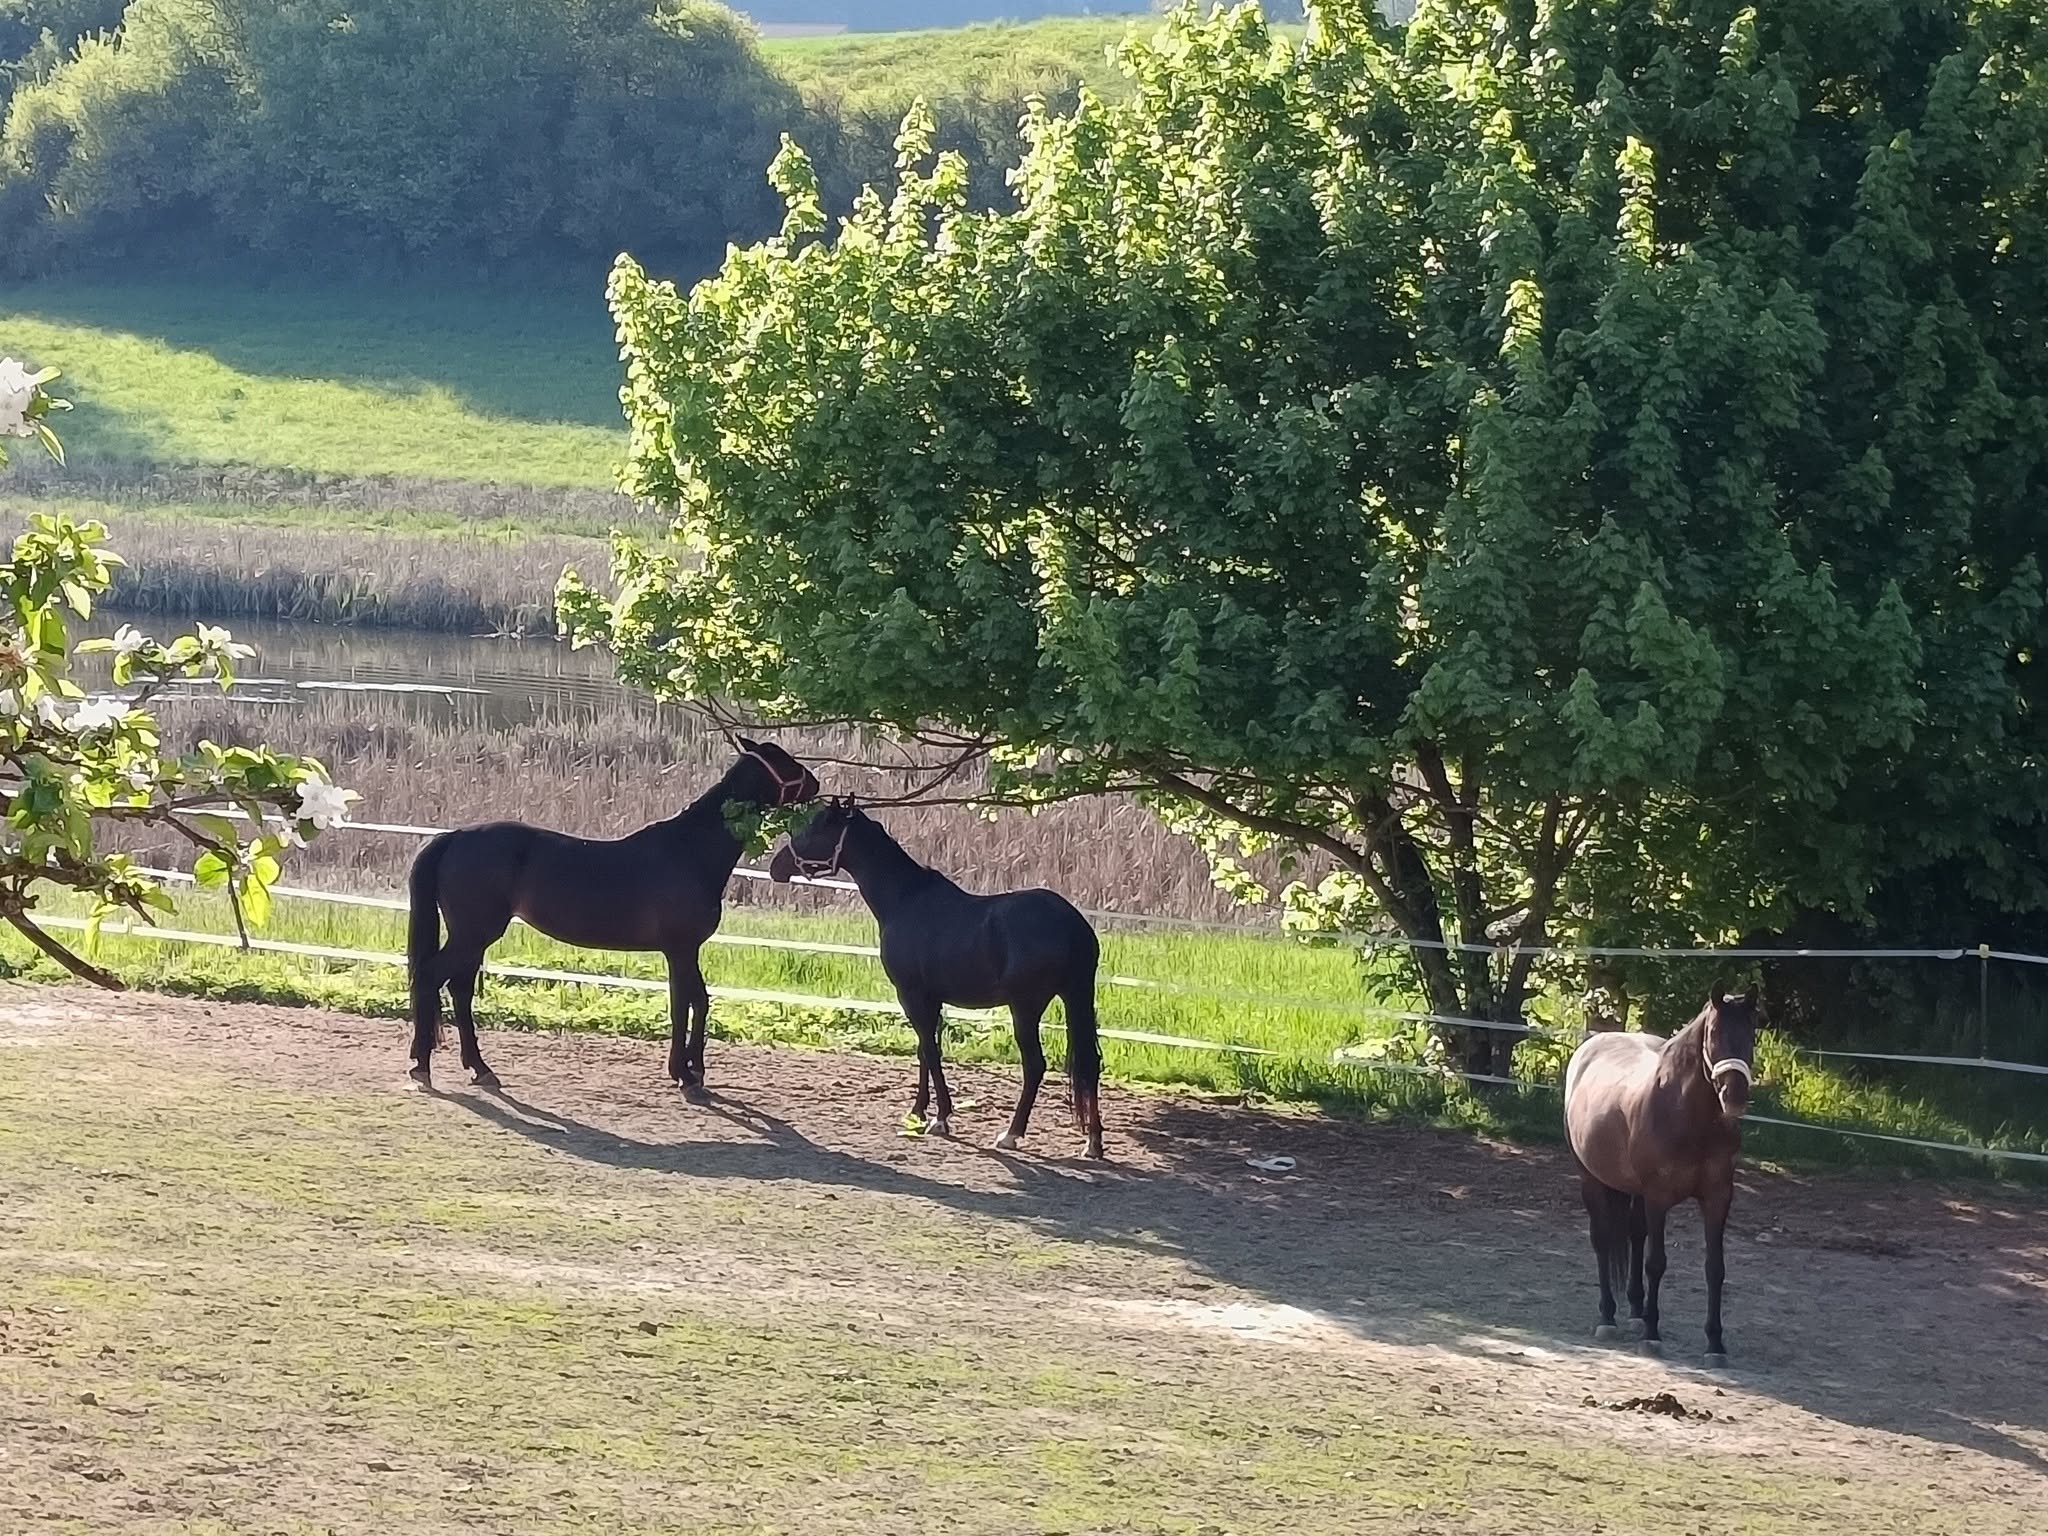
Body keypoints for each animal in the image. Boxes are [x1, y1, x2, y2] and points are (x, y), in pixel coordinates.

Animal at [405, 737, 818, 1093]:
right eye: (783, 761)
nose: (814, 783)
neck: (689, 851)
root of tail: (455, 837)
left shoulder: (683, 951)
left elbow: (691, 1001)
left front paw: (690, 1068)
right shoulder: (681, 949)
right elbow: (687, 1003)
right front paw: (686, 1073)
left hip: (472, 937)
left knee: (459, 988)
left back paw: (479, 1068)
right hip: (473, 934)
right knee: (431, 978)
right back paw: (423, 1066)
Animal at [768, 799, 1106, 1159]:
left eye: (815, 828)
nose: (776, 866)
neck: (905, 899)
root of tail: (1071, 924)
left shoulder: (911, 995)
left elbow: (930, 1051)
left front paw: (941, 1118)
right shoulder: (931, 999)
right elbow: (924, 1051)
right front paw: (918, 1112)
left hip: (1025, 1008)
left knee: (1034, 1066)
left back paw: (1011, 1134)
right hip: (1077, 997)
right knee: (1090, 1063)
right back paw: (1093, 1143)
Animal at [1561, 986, 1760, 1366]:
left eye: (1752, 1035)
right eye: (1714, 1034)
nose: (1735, 1096)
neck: (1689, 1118)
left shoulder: (1717, 1198)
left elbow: (1715, 1268)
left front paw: (1715, 1344)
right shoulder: (1658, 1198)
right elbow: (1656, 1263)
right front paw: (1653, 1336)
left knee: (1635, 1235)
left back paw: (1636, 1313)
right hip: (1592, 1180)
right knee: (1603, 1241)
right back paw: (1608, 1317)